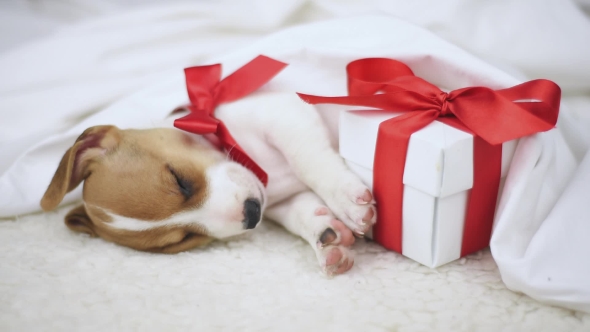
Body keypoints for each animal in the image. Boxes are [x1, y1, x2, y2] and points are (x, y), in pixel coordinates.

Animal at [40, 92, 374, 276]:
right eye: (183, 240)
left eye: (179, 180)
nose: (252, 215)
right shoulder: (280, 201)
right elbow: (302, 213)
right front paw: (328, 239)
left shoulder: (283, 113)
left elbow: (310, 163)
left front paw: (348, 202)